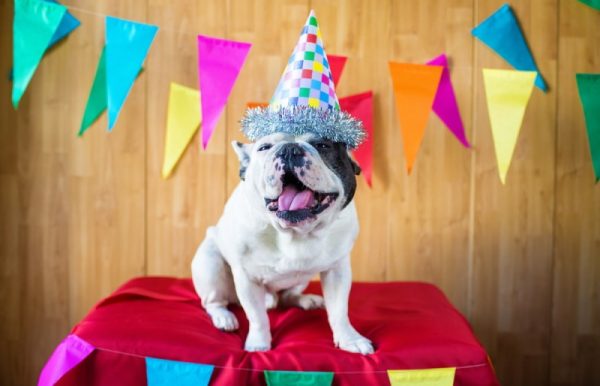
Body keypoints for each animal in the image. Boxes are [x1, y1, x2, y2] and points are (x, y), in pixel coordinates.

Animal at [191, 131, 370, 354]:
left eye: (323, 145)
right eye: (264, 147)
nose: (289, 149)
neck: (295, 233)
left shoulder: (337, 271)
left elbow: (339, 310)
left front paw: (350, 339)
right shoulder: (247, 278)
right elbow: (257, 317)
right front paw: (258, 344)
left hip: (301, 278)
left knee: (287, 296)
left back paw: (305, 300)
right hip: (210, 265)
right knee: (214, 302)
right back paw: (224, 317)